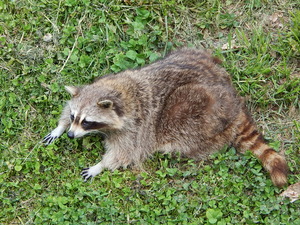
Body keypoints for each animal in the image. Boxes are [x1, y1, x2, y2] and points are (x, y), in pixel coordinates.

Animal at [42, 48, 288, 187]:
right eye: (75, 116)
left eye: (87, 122)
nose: (72, 135)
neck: (117, 92)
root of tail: (235, 102)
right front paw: (60, 127)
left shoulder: (135, 127)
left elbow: (124, 153)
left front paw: (99, 165)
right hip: (195, 55)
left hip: (203, 114)